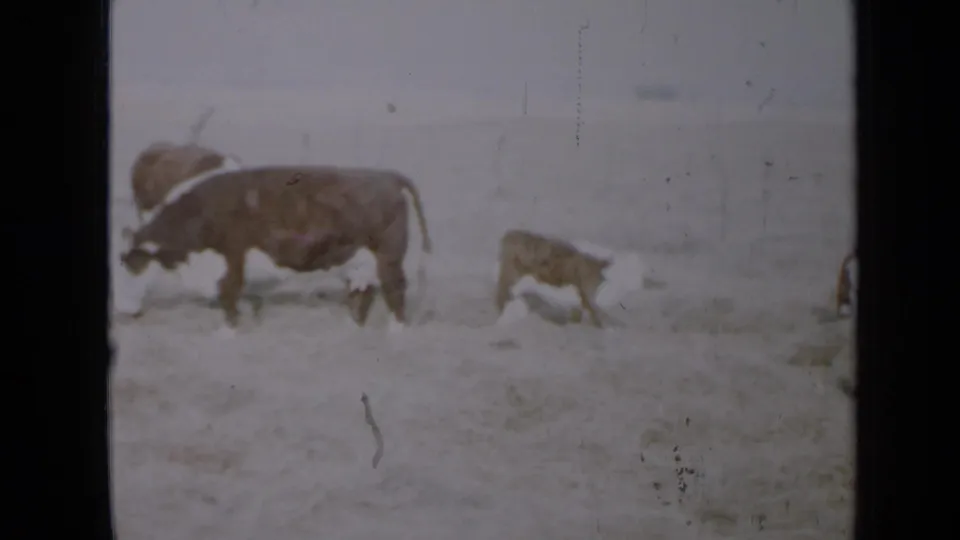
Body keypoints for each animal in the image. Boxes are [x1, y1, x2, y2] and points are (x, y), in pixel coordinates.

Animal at [114, 166, 433, 336]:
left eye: (132, 266)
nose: (122, 311)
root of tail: (388, 176)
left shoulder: (233, 255)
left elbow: (228, 292)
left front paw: (226, 333)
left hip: (387, 257)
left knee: (394, 290)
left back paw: (395, 331)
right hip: (358, 260)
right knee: (361, 292)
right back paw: (352, 327)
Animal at [492, 229, 645, 328]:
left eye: (599, 279)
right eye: (589, 276)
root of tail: (508, 236)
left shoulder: (584, 287)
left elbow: (589, 306)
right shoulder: (584, 286)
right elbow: (592, 307)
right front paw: (601, 323)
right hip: (511, 270)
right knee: (501, 289)